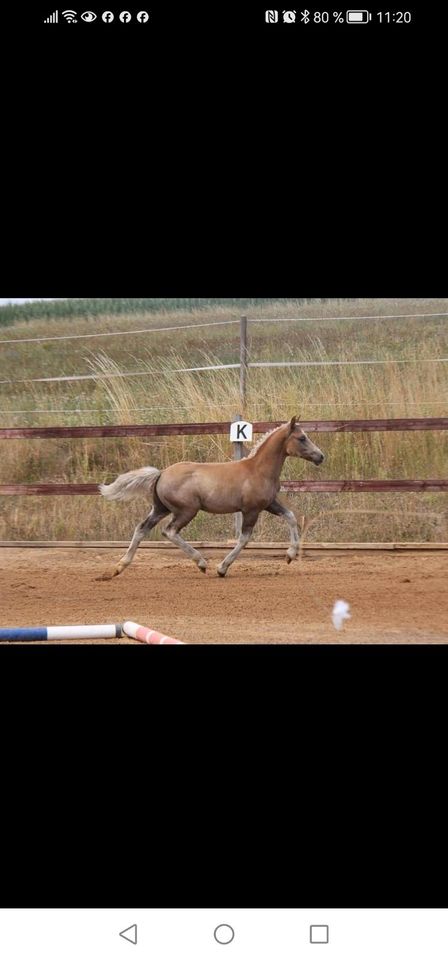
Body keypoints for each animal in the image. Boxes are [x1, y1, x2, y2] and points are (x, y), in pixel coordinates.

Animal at [98, 412, 324, 576]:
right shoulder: (251, 510)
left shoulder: (269, 504)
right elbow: (244, 538)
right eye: (302, 438)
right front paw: (222, 568)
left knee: (141, 529)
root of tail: (161, 473)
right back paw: (201, 562)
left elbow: (291, 517)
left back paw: (120, 566)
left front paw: (290, 555)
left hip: (160, 508)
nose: (321, 456)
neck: (258, 470)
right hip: (187, 510)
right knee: (169, 531)